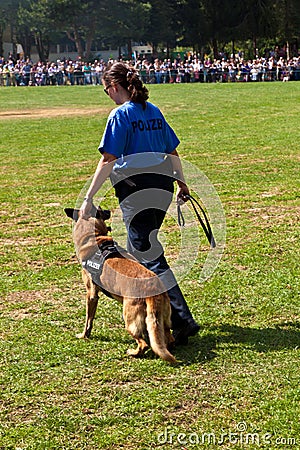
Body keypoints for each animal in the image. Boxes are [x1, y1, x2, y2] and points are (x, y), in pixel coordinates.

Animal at [63, 206, 176, 364]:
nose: (108, 210)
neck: (95, 236)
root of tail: (153, 290)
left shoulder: (91, 294)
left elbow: (88, 320)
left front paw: (84, 335)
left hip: (129, 320)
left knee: (144, 344)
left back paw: (133, 353)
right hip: (162, 320)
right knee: (167, 338)